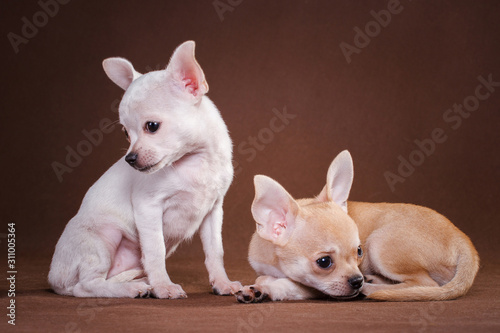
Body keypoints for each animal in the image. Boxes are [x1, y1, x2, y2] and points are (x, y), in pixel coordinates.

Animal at [49, 40, 242, 296]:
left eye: (152, 126)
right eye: (125, 133)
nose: (129, 158)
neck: (195, 161)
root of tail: (55, 280)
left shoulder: (213, 211)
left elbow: (215, 252)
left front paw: (222, 282)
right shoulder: (148, 207)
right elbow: (155, 251)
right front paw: (163, 286)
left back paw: (139, 283)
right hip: (103, 238)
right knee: (87, 285)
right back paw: (132, 289)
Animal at [238, 152, 480, 302]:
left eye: (359, 251)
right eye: (324, 262)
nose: (357, 280)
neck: (277, 265)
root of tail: (463, 239)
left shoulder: (320, 288)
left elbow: (284, 284)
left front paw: (265, 289)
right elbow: (262, 276)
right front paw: (259, 287)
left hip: (380, 244)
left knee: (426, 284)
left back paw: (372, 288)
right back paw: (373, 281)